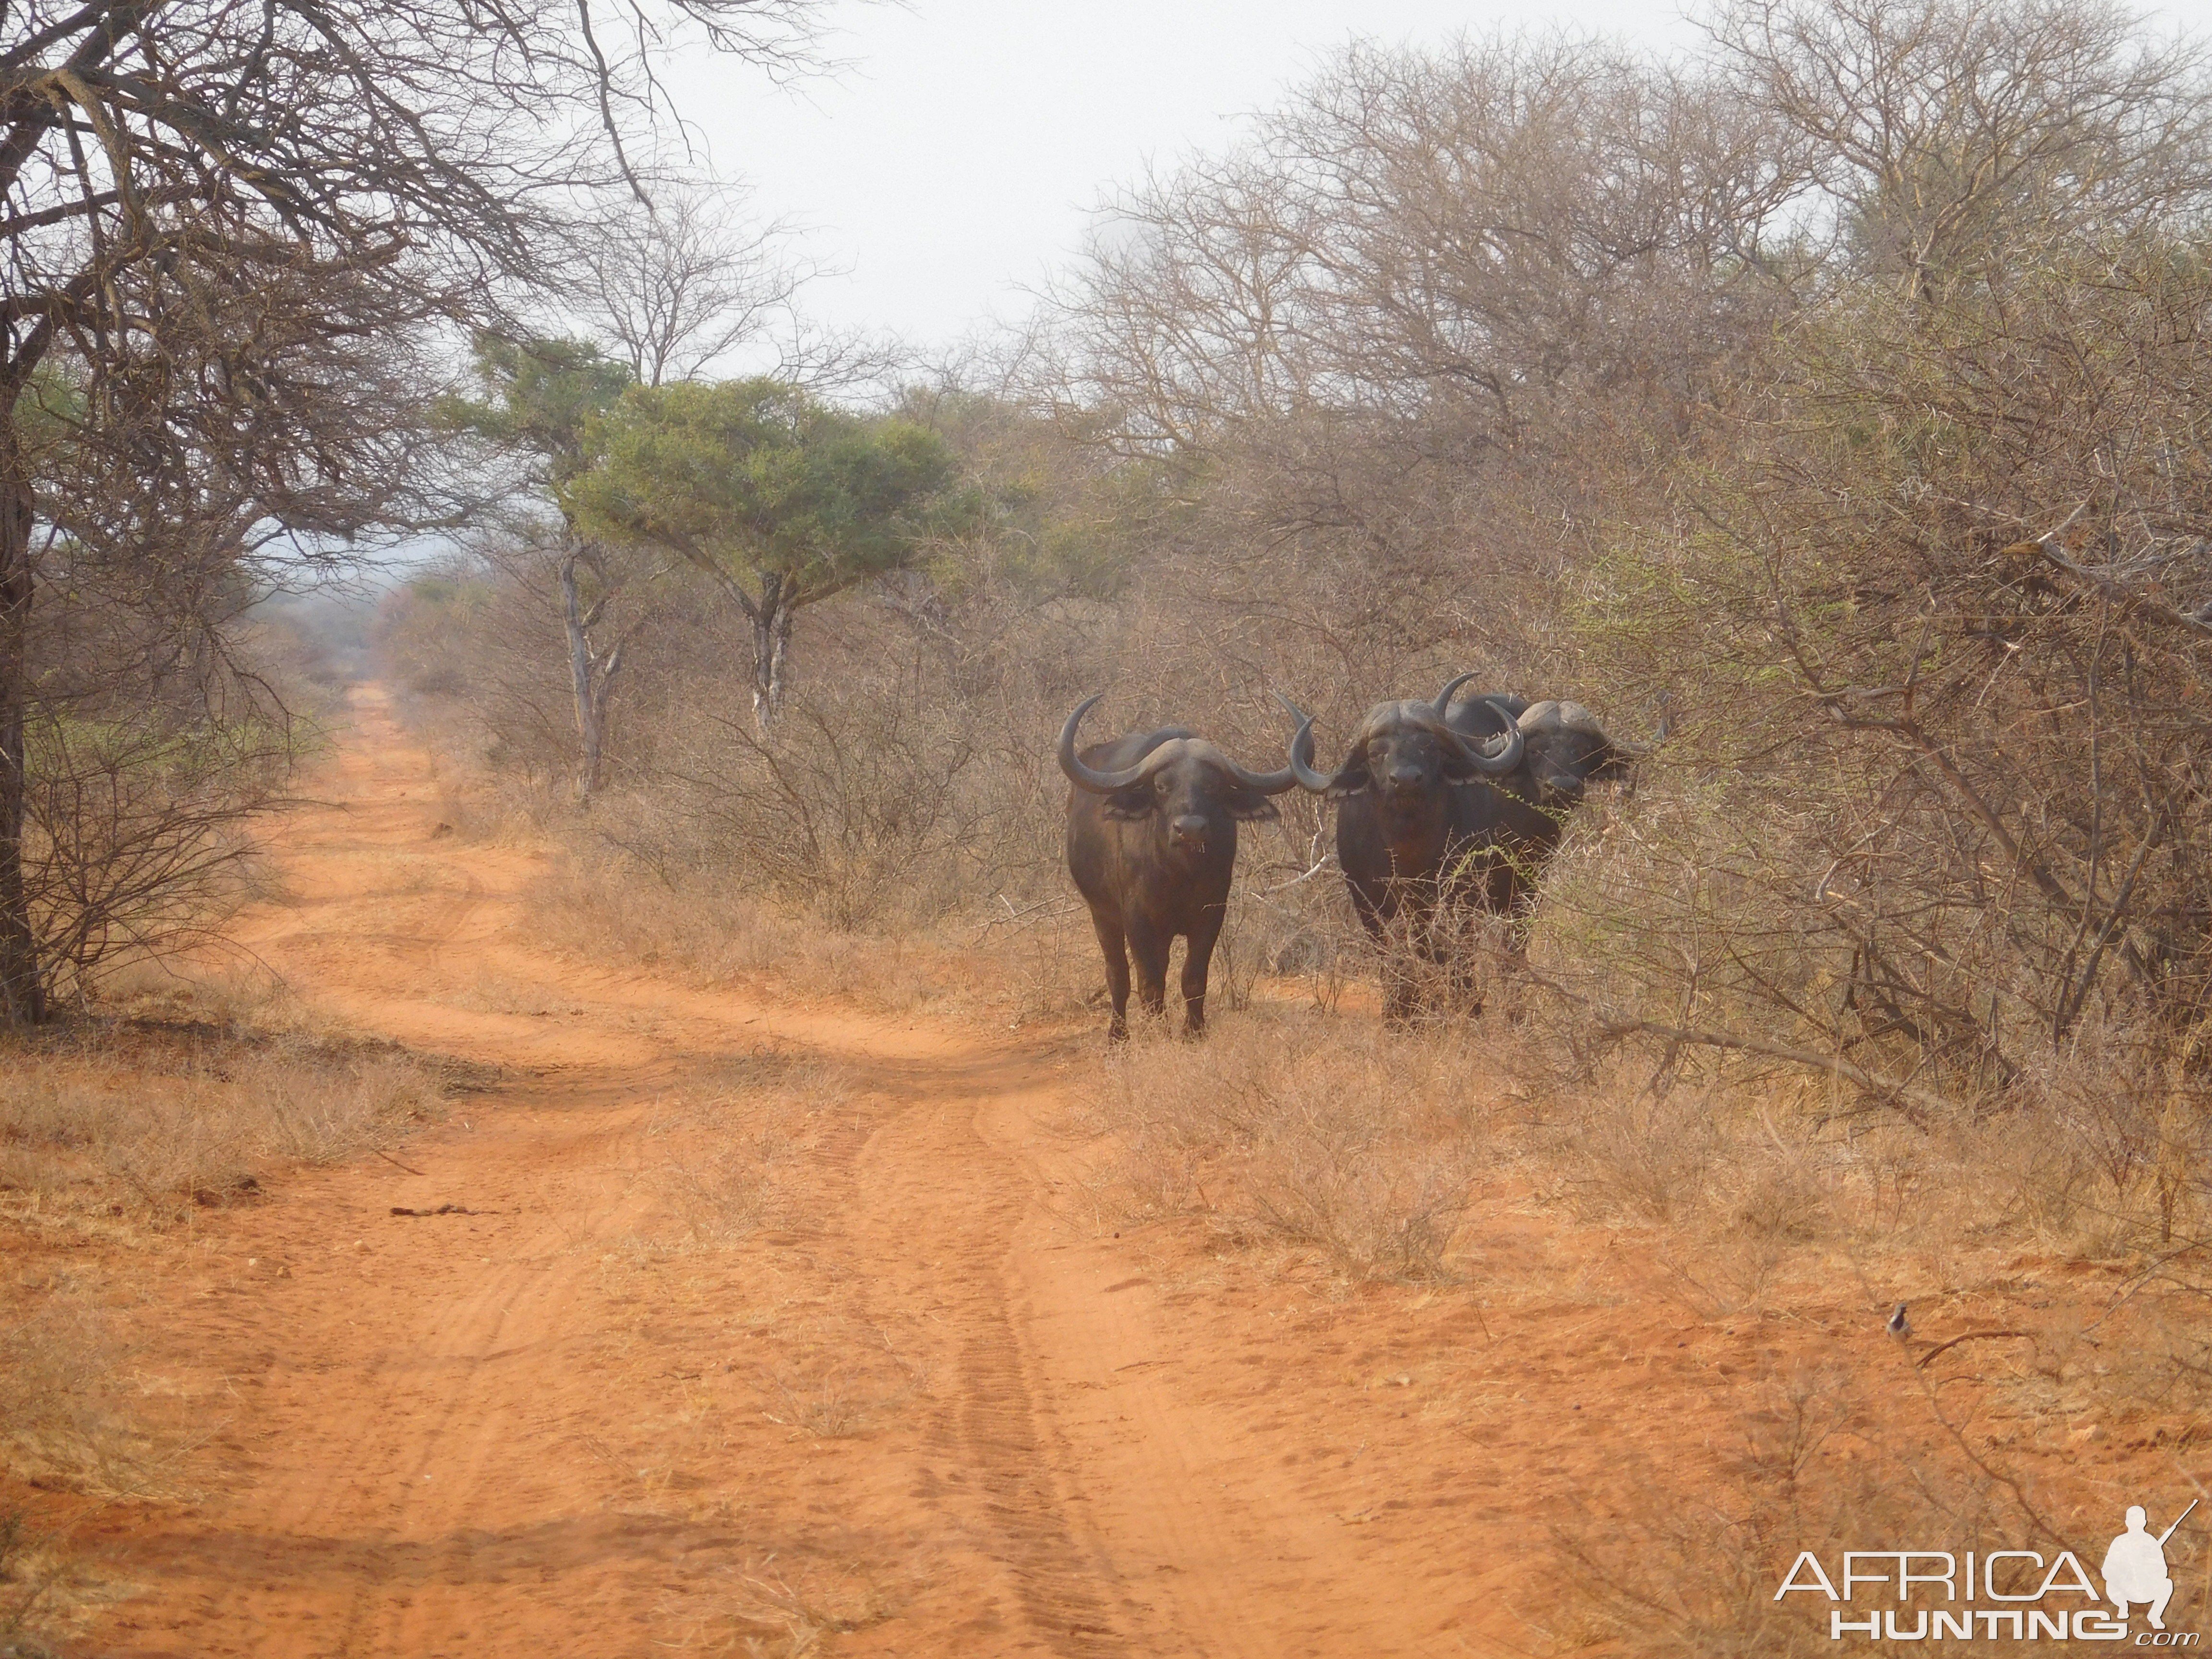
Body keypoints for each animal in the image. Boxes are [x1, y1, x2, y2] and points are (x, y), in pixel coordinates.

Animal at [1053, 699, 1292, 1039]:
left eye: (1213, 786)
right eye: (1161, 786)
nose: (1189, 829)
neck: (1179, 873)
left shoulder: (1211, 914)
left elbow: (1193, 978)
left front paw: (1194, 1032)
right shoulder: (1137, 920)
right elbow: (1149, 983)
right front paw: (1160, 1033)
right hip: (1102, 914)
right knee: (1118, 975)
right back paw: (1118, 1035)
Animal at [1283, 677, 1628, 1022]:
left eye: (1428, 746)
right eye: (1376, 752)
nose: (1405, 779)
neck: (1410, 845)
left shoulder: (1461, 901)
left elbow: (1456, 955)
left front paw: (1466, 1009)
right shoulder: (1370, 904)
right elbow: (1394, 956)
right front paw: (1401, 1014)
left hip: (1525, 889)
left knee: (1510, 948)